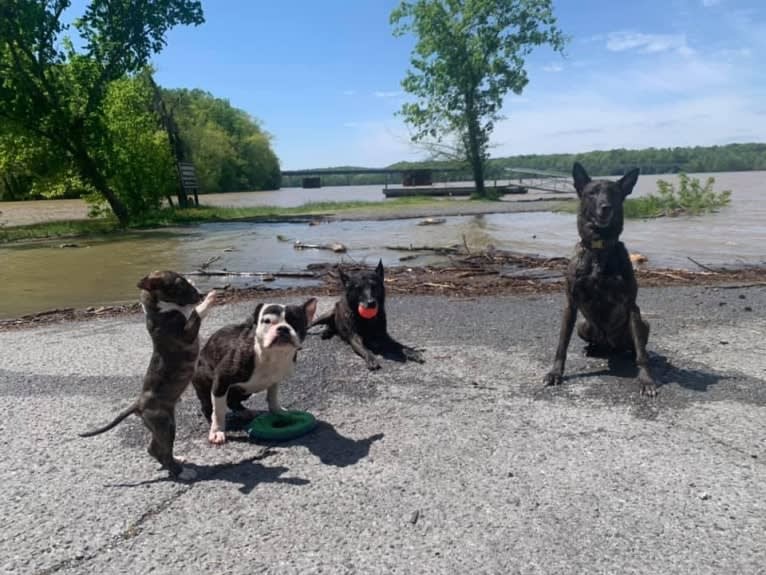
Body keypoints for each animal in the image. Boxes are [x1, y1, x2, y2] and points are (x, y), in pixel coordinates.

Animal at [192, 300, 318, 444]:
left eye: (296, 321)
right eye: (267, 321)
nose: (282, 328)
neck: (273, 355)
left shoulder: (275, 380)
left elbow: (273, 397)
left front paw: (278, 411)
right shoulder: (221, 380)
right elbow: (218, 411)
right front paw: (217, 430)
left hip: (243, 392)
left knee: (232, 401)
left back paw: (244, 412)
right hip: (205, 383)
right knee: (208, 406)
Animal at [544, 162, 660, 396]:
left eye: (614, 193)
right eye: (592, 193)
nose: (606, 207)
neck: (599, 249)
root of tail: (610, 346)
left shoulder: (632, 306)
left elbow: (641, 354)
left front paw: (646, 380)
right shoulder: (570, 305)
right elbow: (562, 344)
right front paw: (555, 373)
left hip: (644, 323)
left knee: (637, 346)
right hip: (583, 325)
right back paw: (591, 349)